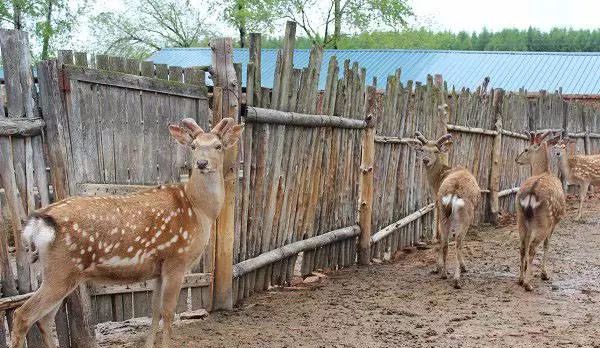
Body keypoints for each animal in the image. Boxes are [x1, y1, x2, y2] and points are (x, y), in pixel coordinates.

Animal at [11, 117, 243, 348]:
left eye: (218, 146)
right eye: (193, 146)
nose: (202, 163)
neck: (199, 210)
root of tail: (39, 222)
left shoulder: (159, 268)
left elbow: (155, 310)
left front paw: (148, 344)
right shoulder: (176, 259)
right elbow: (168, 313)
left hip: (59, 273)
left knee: (44, 319)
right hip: (62, 270)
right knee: (22, 314)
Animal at [406, 130, 480, 288]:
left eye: (435, 150)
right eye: (422, 149)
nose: (425, 160)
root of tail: (453, 192)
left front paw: (437, 268)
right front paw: (463, 267)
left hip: (443, 210)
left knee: (444, 241)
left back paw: (444, 273)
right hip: (465, 216)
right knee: (457, 242)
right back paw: (457, 278)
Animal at [512, 130, 564, 290]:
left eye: (526, 149)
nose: (516, 159)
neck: (545, 171)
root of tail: (531, 194)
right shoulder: (554, 223)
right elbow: (547, 244)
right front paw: (544, 274)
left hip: (520, 220)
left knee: (522, 246)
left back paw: (520, 279)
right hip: (544, 222)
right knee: (532, 248)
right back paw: (528, 284)